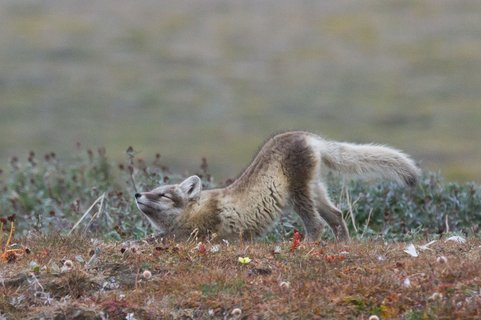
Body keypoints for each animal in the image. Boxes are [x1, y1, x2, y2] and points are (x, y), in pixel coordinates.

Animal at [133, 131, 418, 241]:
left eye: (162, 195)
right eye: (152, 190)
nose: (137, 194)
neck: (196, 210)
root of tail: (307, 136)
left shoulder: (198, 234)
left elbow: (153, 239)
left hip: (297, 192)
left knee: (317, 224)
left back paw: (304, 247)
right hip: (314, 190)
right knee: (337, 216)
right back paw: (343, 246)